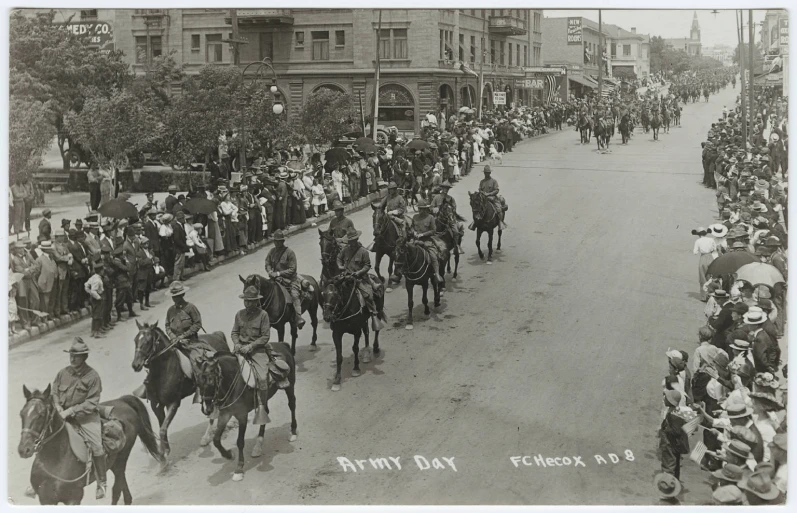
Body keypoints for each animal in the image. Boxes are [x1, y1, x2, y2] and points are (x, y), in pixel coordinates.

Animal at [18, 388, 163, 504]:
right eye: (21, 414)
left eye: (41, 415)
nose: (24, 449)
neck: (55, 460)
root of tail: (122, 401)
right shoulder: (46, 499)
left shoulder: (74, 497)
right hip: (113, 462)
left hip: (122, 458)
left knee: (116, 488)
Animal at [128, 322, 225, 458]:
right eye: (135, 340)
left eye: (147, 341)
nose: (135, 365)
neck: (164, 369)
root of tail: (218, 335)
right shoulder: (156, 405)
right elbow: (162, 426)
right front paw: (163, 450)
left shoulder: (173, 403)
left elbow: (163, 429)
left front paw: (166, 453)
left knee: (213, 411)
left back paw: (206, 437)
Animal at [194, 342, 296, 482]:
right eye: (198, 382)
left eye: (210, 380)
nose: (207, 409)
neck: (233, 381)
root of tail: (283, 344)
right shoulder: (225, 414)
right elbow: (216, 439)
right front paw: (228, 454)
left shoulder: (242, 415)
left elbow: (240, 442)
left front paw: (239, 469)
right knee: (265, 413)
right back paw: (258, 446)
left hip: (290, 386)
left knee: (292, 405)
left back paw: (293, 432)